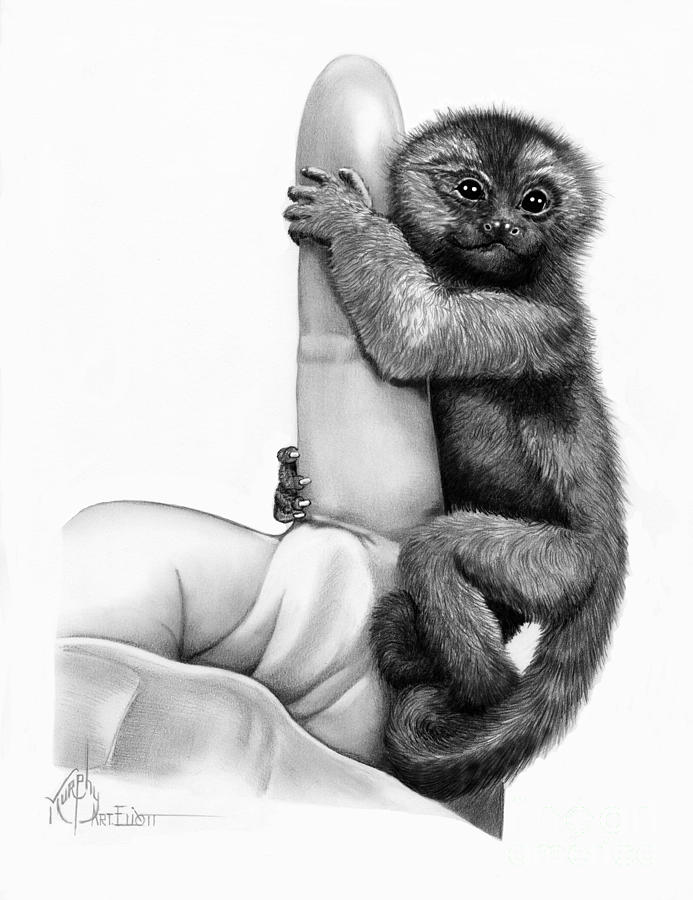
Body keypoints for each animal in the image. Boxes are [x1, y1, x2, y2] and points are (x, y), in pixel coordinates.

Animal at [279, 108, 627, 801]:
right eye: (471, 190)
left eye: (535, 202)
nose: (504, 225)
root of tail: (612, 558)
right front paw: (285, 490)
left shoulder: (531, 323)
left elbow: (412, 338)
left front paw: (347, 220)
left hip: (561, 565)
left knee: (437, 553)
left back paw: (465, 677)